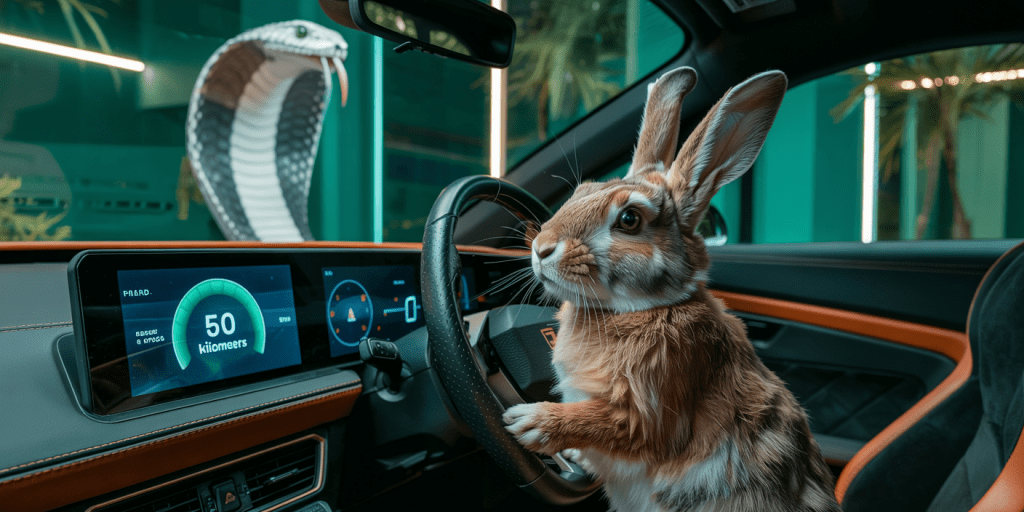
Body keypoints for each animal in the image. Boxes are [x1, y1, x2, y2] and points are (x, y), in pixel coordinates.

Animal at [502, 67, 841, 512]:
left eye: (629, 219)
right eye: (580, 191)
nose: (541, 248)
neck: (641, 308)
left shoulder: (649, 412)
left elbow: (609, 423)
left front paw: (527, 421)